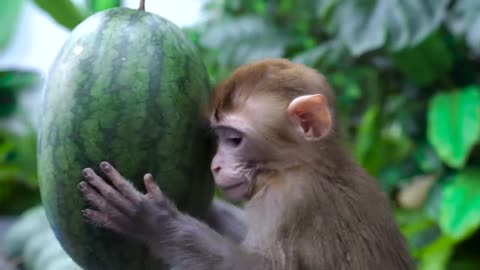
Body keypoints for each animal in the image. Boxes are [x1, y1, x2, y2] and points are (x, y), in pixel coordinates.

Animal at [77, 58, 414, 268]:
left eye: (235, 139)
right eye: (218, 137)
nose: (215, 166)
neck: (304, 165)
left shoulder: (287, 198)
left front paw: (153, 221)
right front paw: (206, 210)